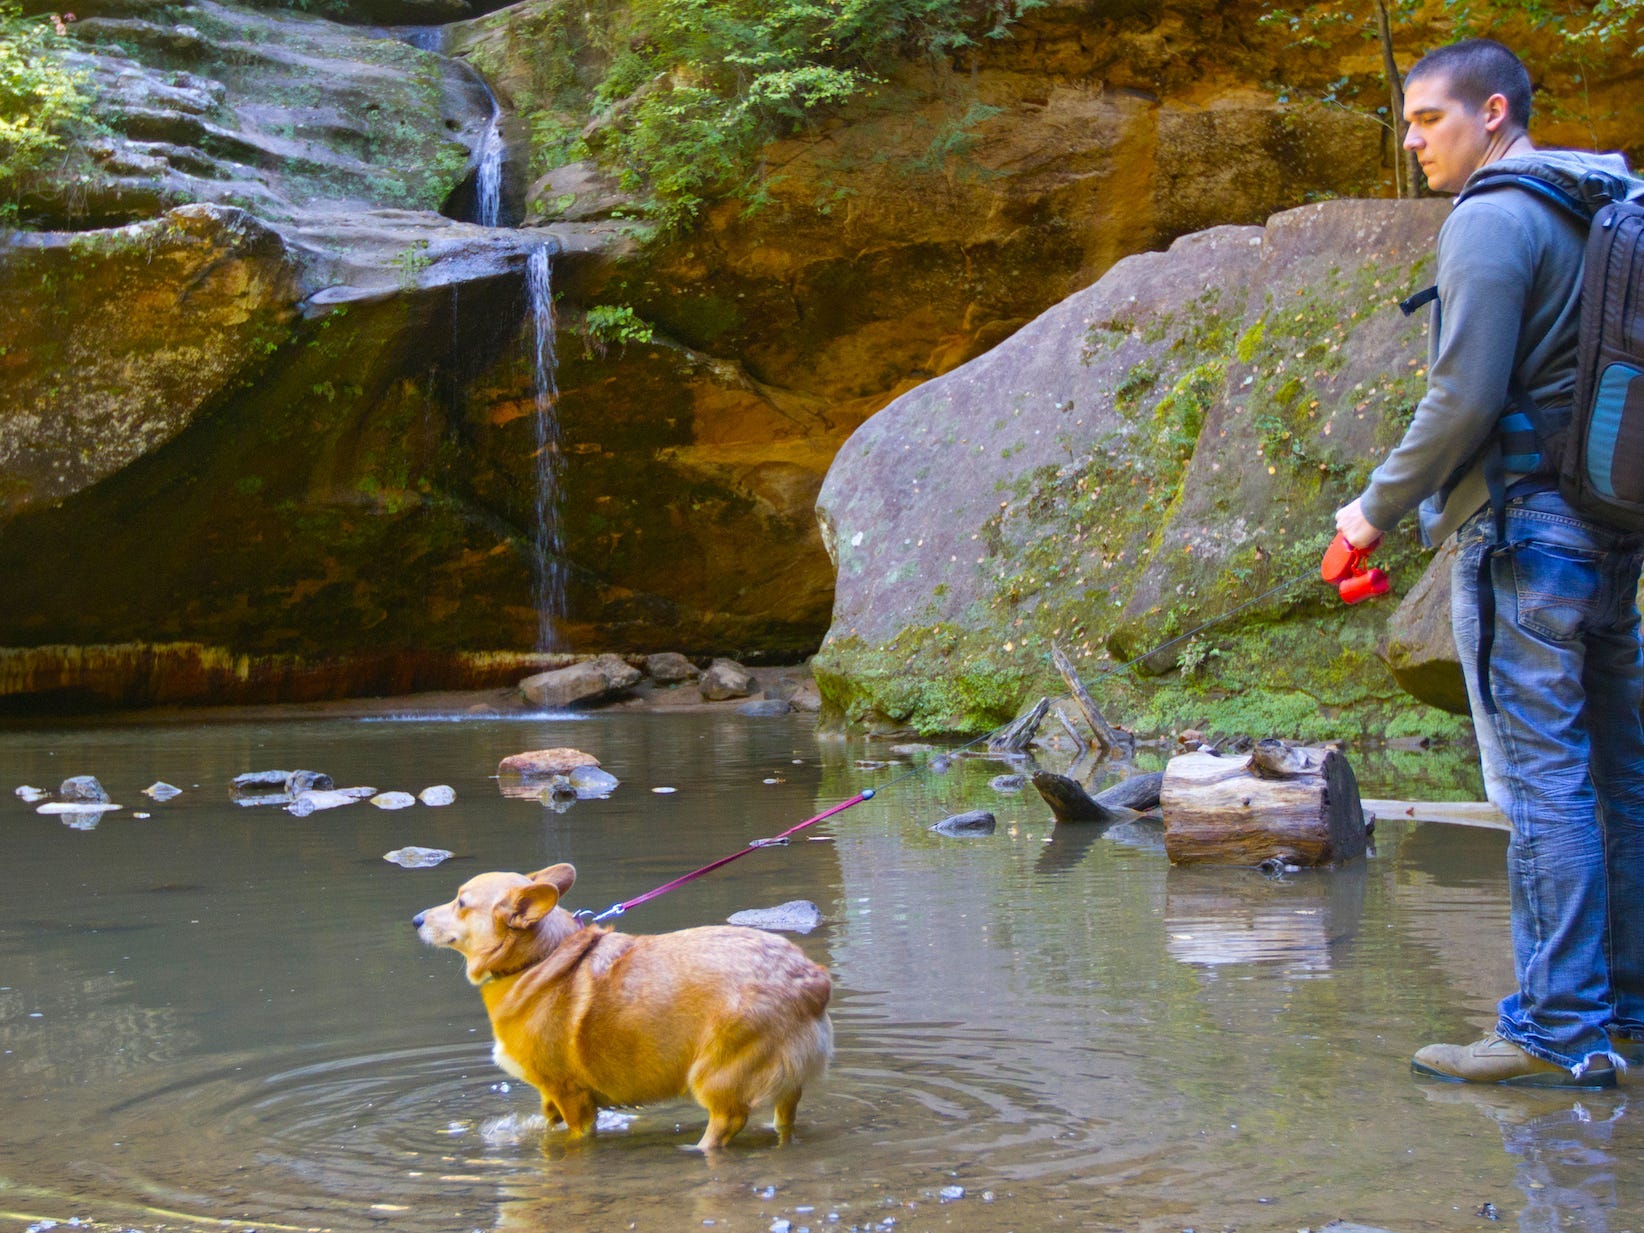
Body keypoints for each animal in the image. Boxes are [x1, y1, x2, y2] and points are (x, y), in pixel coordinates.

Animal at [409, 861, 828, 1157]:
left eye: (461, 903)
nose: (415, 919)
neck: (537, 959)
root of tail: (813, 980)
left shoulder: (573, 1096)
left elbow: (576, 1137)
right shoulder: (550, 1096)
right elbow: (546, 1123)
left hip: (715, 1075)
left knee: (728, 1122)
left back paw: (694, 1149)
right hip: (785, 1082)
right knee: (785, 1118)